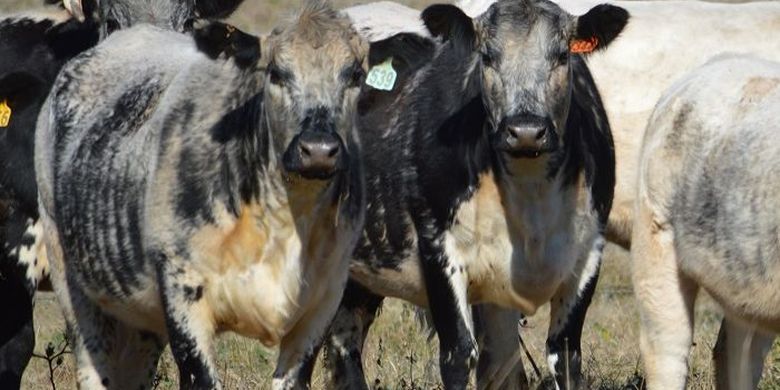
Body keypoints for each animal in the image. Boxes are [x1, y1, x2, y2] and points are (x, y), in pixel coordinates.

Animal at [33, 1, 368, 388]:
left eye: (355, 75)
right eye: (276, 73)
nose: (318, 149)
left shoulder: (321, 304)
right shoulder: (183, 294)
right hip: (71, 278)